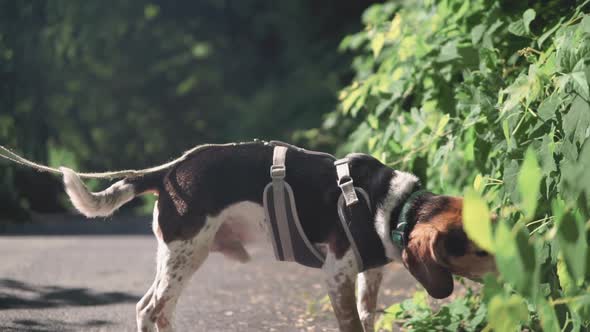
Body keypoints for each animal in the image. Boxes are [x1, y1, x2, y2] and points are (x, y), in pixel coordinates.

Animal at [60, 141, 498, 332]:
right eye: (477, 249)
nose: (515, 272)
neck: (392, 206)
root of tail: (167, 171)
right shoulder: (337, 275)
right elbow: (352, 324)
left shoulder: (368, 276)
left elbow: (368, 316)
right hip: (187, 255)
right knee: (152, 309)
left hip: (177, 257)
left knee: (151, 309)